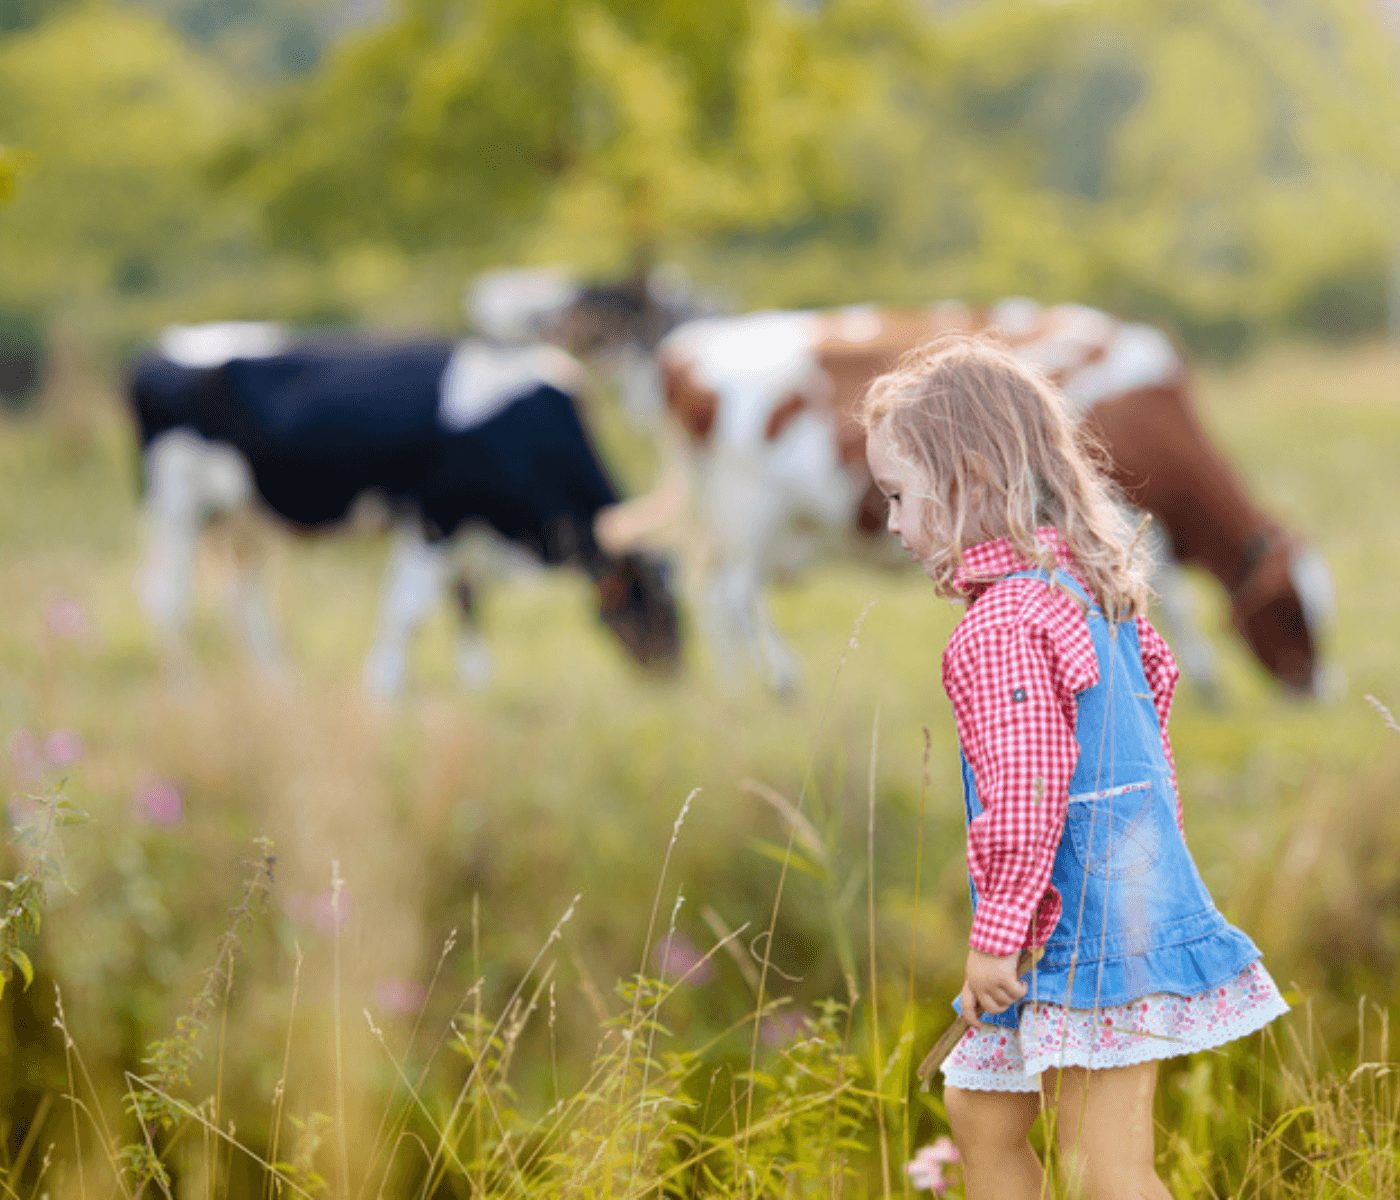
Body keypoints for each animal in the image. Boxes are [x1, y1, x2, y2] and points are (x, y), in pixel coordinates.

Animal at [126, 323, 683, 697]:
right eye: (650, 601)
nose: (674, 674)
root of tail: (157, 350)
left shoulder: (467, 526)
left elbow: (466, 597)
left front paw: (476, 682)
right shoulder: (434, 516)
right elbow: (409, 606)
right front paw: (385, 689)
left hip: (243, 518)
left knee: (242, 597)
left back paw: (278, 683)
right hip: (175, 503)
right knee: (168, 596)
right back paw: (185, 691)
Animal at [607, 294, 1338, 697]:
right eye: (1289, 610)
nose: (1321, 691)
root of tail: (688, 347)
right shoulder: (1129, 504)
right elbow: (1175, 594)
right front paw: (1212, 684)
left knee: (714, 596)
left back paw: (738, 698)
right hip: (750, 513)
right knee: (733, 597)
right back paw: (778, 688)